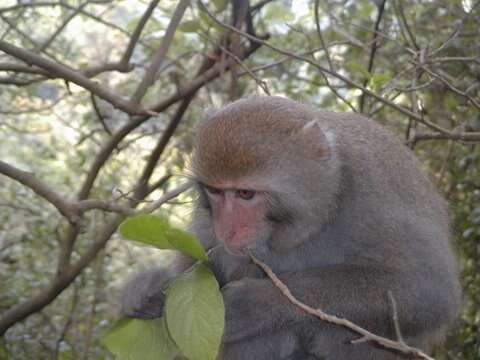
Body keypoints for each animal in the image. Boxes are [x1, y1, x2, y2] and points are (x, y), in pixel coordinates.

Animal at [121, 95, 462, 360]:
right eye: (216, 192)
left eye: (245, 194)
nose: (227, 229)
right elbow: (204, 266)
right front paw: (151, 286)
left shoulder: (376, 189)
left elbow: (427, 289)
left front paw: (261, 303)